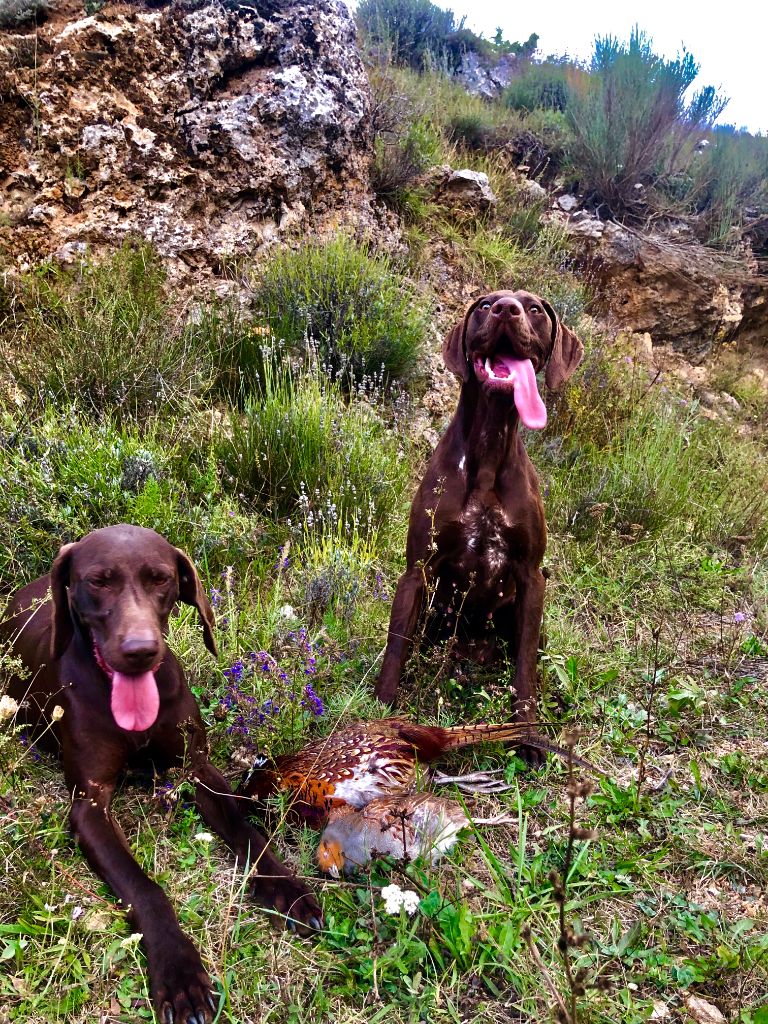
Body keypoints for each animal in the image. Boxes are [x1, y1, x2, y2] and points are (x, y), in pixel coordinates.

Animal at [2, 528, 321, 1024]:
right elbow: (145, 889)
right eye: (98, 581)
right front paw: (180, 973)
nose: (140, 652)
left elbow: (249, 833)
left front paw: (288, 889)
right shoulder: (89, 806)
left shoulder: (198, 770)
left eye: (161, 579)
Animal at [376, 292, 585, 749]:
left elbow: (525, 671)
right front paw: (377, 718)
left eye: (535, 309)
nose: (506, 308)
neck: (489, 451)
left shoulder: (531, 577)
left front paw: (527, 737)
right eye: (486, 305)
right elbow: (395, 648)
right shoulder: (417, 571)